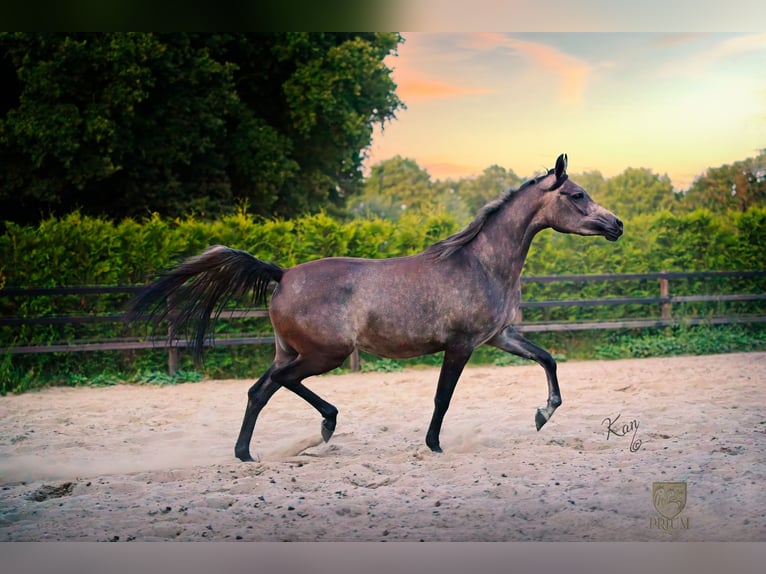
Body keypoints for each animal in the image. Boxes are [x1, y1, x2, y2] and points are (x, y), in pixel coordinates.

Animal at [130, 153, 623, 462]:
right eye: (577, 195)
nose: (616, 225)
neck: (480, 263)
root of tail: (282, 274)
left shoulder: (499, 336)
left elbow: (547, 358)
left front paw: (543, 414)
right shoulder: (461, 345)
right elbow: (443, 397)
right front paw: (434, 445)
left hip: (292, 351)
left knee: (260, 390)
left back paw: (250, 452)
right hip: (324, 353)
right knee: (278, 385)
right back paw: (321, 428)